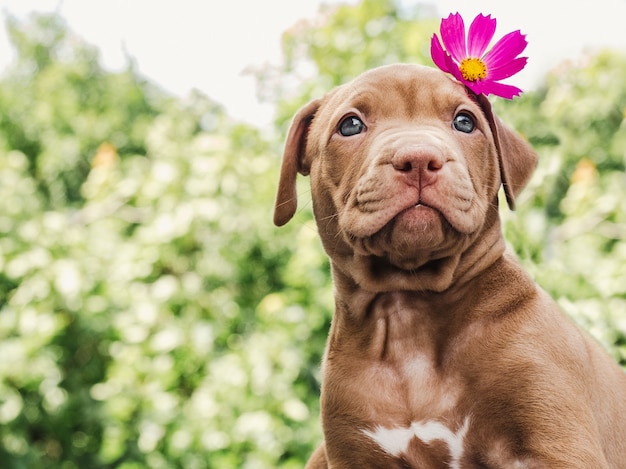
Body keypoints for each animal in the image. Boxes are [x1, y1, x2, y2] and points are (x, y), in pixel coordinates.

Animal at [272, 63, 624, 468]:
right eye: (350, 125)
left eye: (464, 121)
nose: (419, 159)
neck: (409, 312)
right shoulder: (353, 452)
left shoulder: (558, 444)